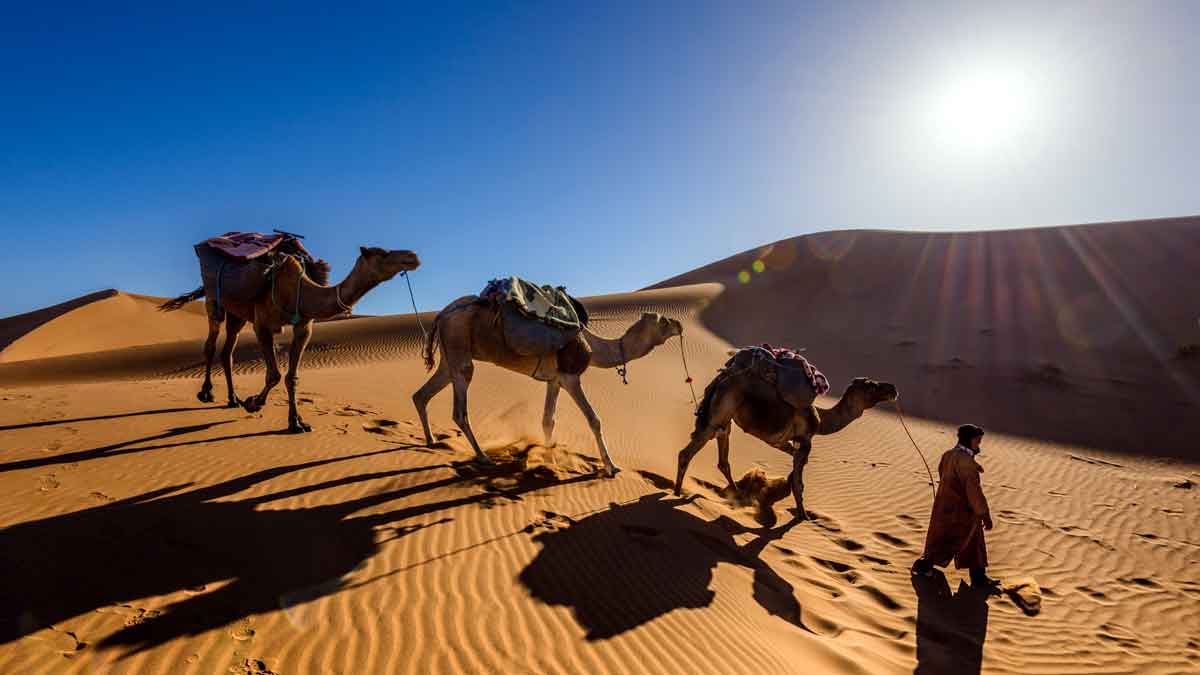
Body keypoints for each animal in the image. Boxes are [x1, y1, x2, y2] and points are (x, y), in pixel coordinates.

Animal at [159, 243, 420, 427]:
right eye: (383, 253)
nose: (413, 256)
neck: (299, 290)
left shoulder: (304, 327)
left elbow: (291, 377)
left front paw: (296, 422)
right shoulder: (262, 325)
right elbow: (273, 374)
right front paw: (254, 403)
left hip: (237, 314)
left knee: (227, 352)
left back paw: (233, 399)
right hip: (215, 300)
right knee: (211, 344)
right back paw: (207, 393)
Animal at [412, 296, 681, 475]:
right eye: (663, 321)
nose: (679, 324)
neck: (592, 347)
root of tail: (442, 315)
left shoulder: (555, 380)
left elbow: (547, 420)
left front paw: (549, 459)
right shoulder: (571, 376)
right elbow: (594, 419)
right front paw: (611, 467)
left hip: (449, 355)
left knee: (422, 394)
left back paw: (431, 441)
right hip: (458, 343)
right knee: (459, 407)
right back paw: (482, 456)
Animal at [672, 355, 897, 516]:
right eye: (871, 386)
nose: (892, 388)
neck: (821, 420)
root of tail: (720, 380)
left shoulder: (781, 441)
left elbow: (795, 470)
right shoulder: (806, 440)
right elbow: (798, 482)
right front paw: (803, 516)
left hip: (725, 421)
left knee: (723, 460)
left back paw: (737, 495)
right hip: (718, 416)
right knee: (687, 453)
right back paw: (676, 492)